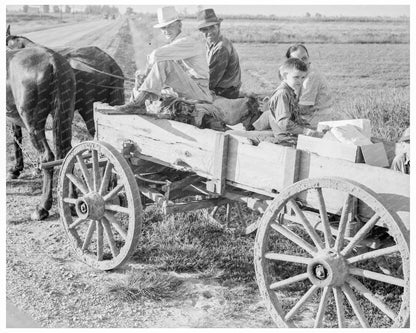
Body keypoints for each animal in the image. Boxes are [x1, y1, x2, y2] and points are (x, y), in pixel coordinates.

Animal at [6, 45, 76, 219]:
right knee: (69, 154)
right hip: (66, 117)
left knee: (47, 157)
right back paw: (72, 201)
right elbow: (17, 138)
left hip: (34, 125)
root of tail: (52, 60)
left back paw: (43, 207)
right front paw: (16, 169)